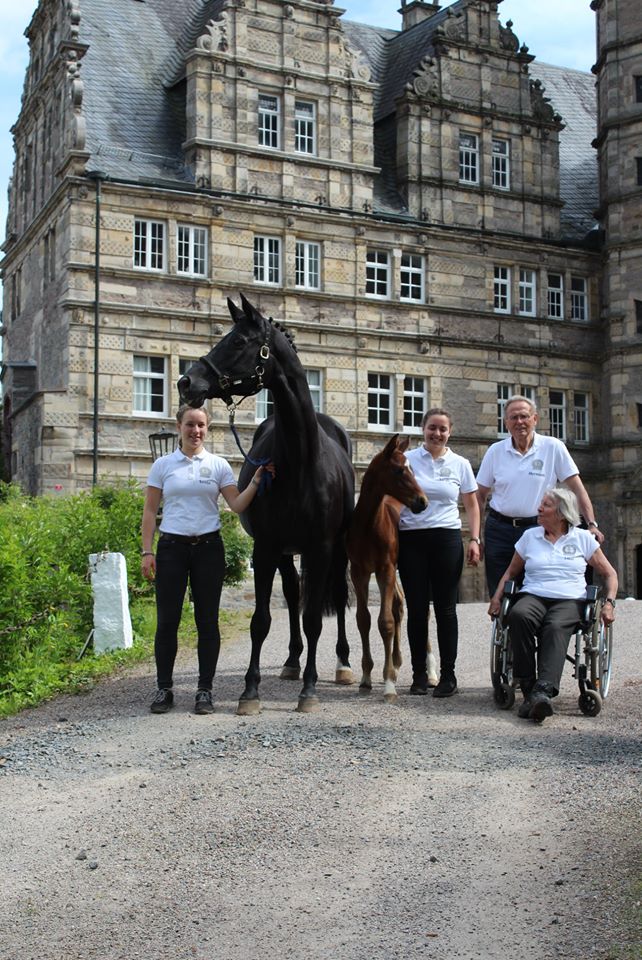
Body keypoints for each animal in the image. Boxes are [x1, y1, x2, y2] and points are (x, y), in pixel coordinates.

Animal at [176, 292, 356, 712]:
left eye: (239, 341)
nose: (186, 381)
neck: (302, 462)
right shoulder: (267, 547)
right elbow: (262, 620)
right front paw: (250, 691)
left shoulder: (321, 547)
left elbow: (315, 619)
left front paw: (309, 691)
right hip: (286, 552)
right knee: (291, 595)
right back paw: (291, 661)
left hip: (337, 547)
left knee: (338, 597)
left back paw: (342, 663)